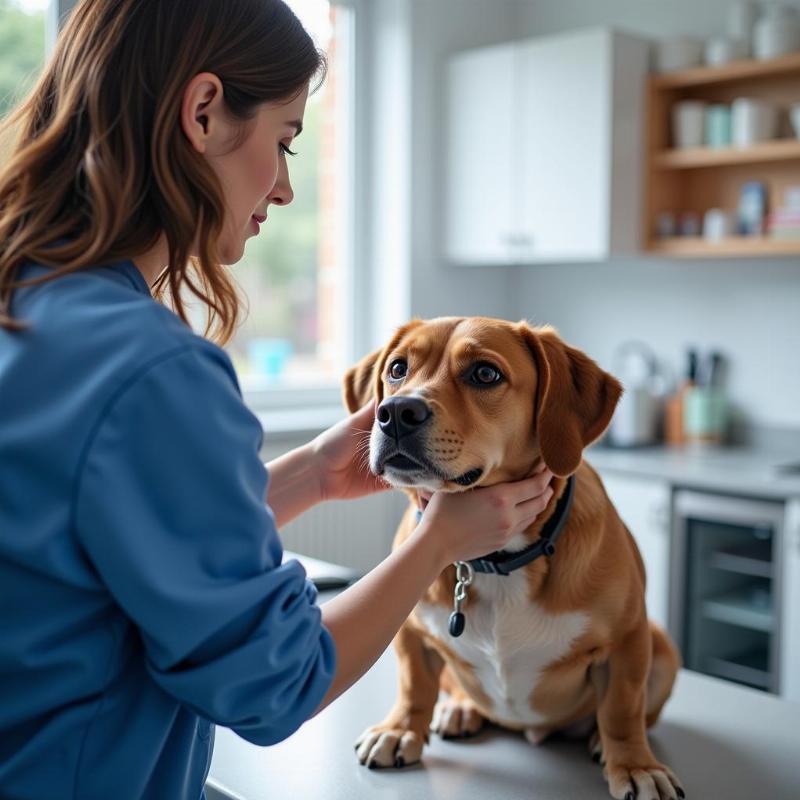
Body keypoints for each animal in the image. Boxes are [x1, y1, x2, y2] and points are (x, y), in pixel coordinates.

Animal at [340, 316, 684, 796]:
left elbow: (621, 710)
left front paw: (634, 765)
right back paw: (461, 708)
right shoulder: (410, 630)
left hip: (662, 646)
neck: (494, 559)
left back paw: (599, 740)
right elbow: (414, 685)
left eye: (485, 374)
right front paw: (401, 729)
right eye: (397, 369)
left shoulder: (628, 640)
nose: (394, 413)